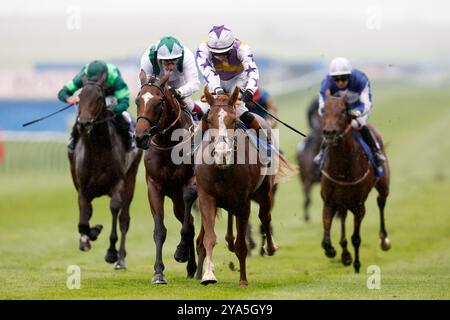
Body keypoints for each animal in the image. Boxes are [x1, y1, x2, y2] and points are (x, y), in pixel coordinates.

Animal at [68, 74, 142, 270]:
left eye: (99, 98)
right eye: (79, 97)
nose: (84, 123)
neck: (98, 150)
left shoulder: (118, 183)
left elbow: (115, 208)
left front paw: (111, 252)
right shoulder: (83, 189)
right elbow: (83, 221)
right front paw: (91, 234)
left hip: (131, 178)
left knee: (124, 218)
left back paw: (121, 258)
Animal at [134, 74, 197, 284]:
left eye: (159, 102)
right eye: (137, 100)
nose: (140, 137)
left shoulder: (190, 183)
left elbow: (186, 224)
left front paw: (180, 252)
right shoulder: (154, 187)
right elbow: (159, 230)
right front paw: (159, 272)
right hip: (175, 201)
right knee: (190, 221)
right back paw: (192, 267)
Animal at [197, 86, 296, 286]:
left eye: (234, 120)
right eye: (208, 119)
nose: (222, 154)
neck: (223, 170)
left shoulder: (244, 202)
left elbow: (242, 245)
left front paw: (243, 279)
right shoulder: (206, 196)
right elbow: (209, 238)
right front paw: (208, 275)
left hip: (264, 190)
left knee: (265, 216)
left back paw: (270, 247)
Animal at [320, 93, 390, 272]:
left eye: (343, 111)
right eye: (324, 111)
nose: (329, 133)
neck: (342, 168)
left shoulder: (359, 207)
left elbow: (356, 238)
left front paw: (357, 264)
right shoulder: (329, 202)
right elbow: (326, 237)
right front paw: (333, 251)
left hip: (383, 185)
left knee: (381, 202)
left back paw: (384, 240)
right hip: (343, 203)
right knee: (344, 218)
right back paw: (344, 253)